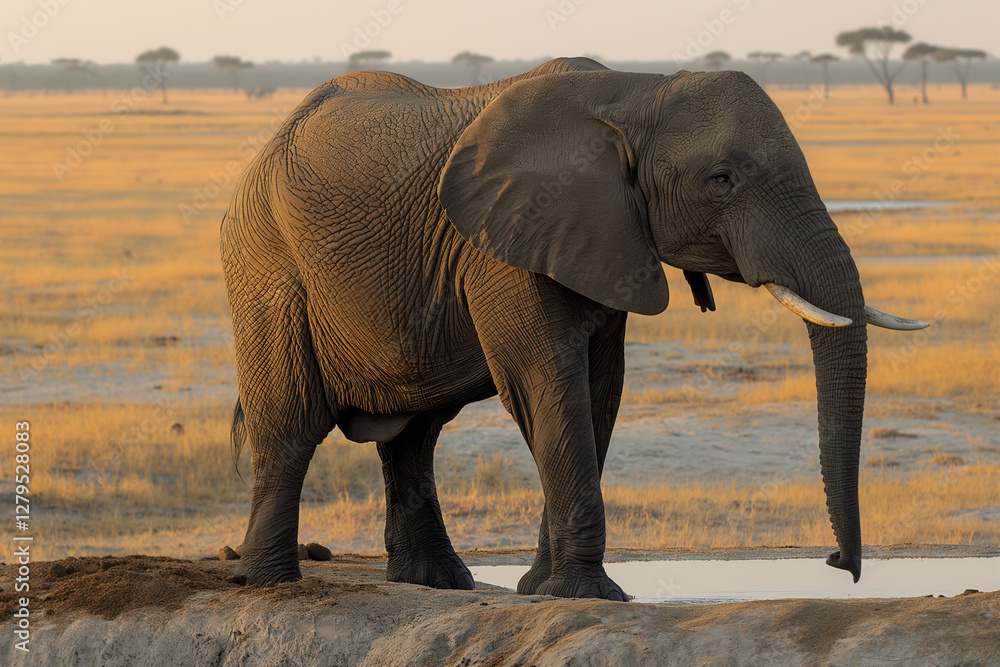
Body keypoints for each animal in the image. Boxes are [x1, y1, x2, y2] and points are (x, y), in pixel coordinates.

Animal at [220, 57, 926, 599]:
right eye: (722, 179)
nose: (837, 563)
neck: (635, 91)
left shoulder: (602, 238)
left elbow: (599, 388)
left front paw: (544, 591)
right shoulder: (506, 243)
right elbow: (545, 382)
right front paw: (589, 595)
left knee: (415, 436)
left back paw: (436, 584)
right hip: (266, 260)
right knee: (290, 421)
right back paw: (272, 584)